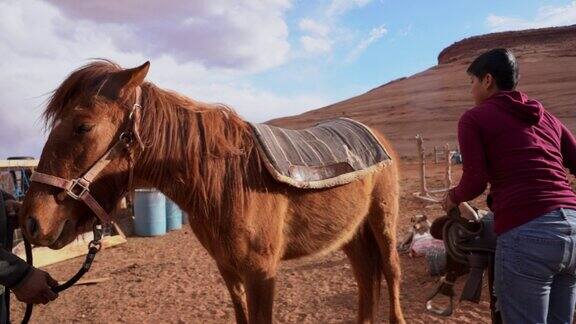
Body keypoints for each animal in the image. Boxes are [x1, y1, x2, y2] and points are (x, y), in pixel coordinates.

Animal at [18, 60, 404, 324]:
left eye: (83, 126)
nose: (31, 222)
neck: (226, 182)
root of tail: (376, 136)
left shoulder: (261, 273)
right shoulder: (229, 270)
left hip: (383, 221)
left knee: (390, 271)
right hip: (350, 233)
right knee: (365, 277)